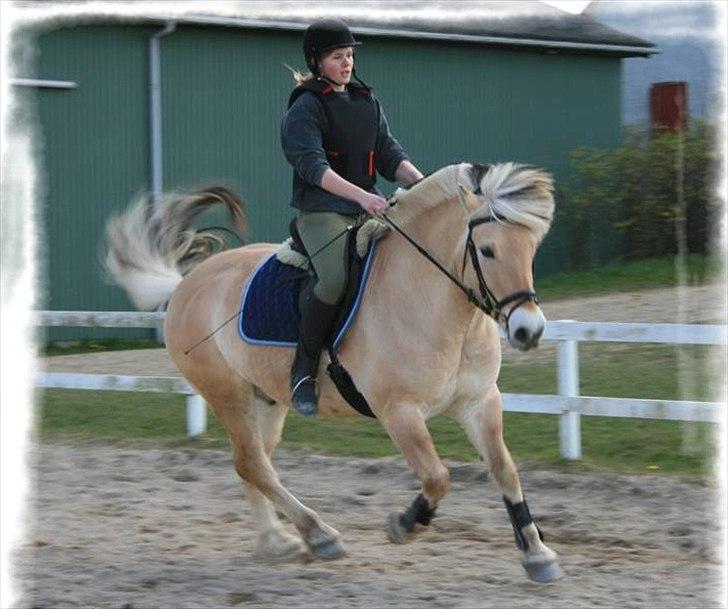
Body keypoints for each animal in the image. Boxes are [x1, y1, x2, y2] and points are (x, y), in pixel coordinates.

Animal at [104, 160, 564, 580]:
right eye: (487, 250)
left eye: (531, 248)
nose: (528, 331)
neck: (433, 303)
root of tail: (185, 284)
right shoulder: (399, 412)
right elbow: (437, 477)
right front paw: (404, 524)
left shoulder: (480, 401)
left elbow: (505, 470)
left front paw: (536, 552)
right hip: (227, 395)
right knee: (252, 463)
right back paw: (319, 534)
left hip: (267, 399)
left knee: (255, 464)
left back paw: (278, 541)